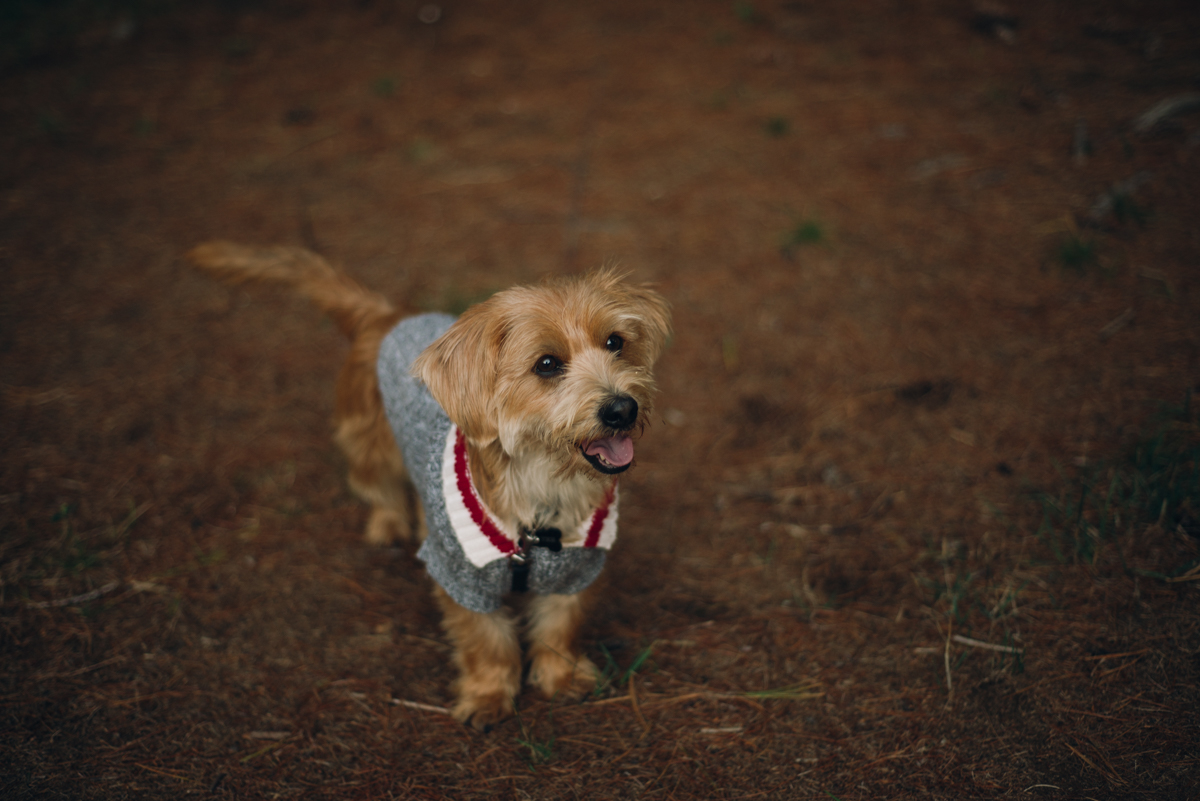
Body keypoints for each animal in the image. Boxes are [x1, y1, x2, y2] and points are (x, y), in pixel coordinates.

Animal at [189, 242, 676, 724]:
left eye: (615, 342)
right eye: (547, 364)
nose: (622, 409)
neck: (544, 488)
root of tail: (387, 315)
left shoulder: (576, 571)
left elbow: (560, 626)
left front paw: (563, 677)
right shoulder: (459, 576)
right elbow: (485, 640)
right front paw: (488, 695)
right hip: (370, 443)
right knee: (377, 485)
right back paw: (388, 523)